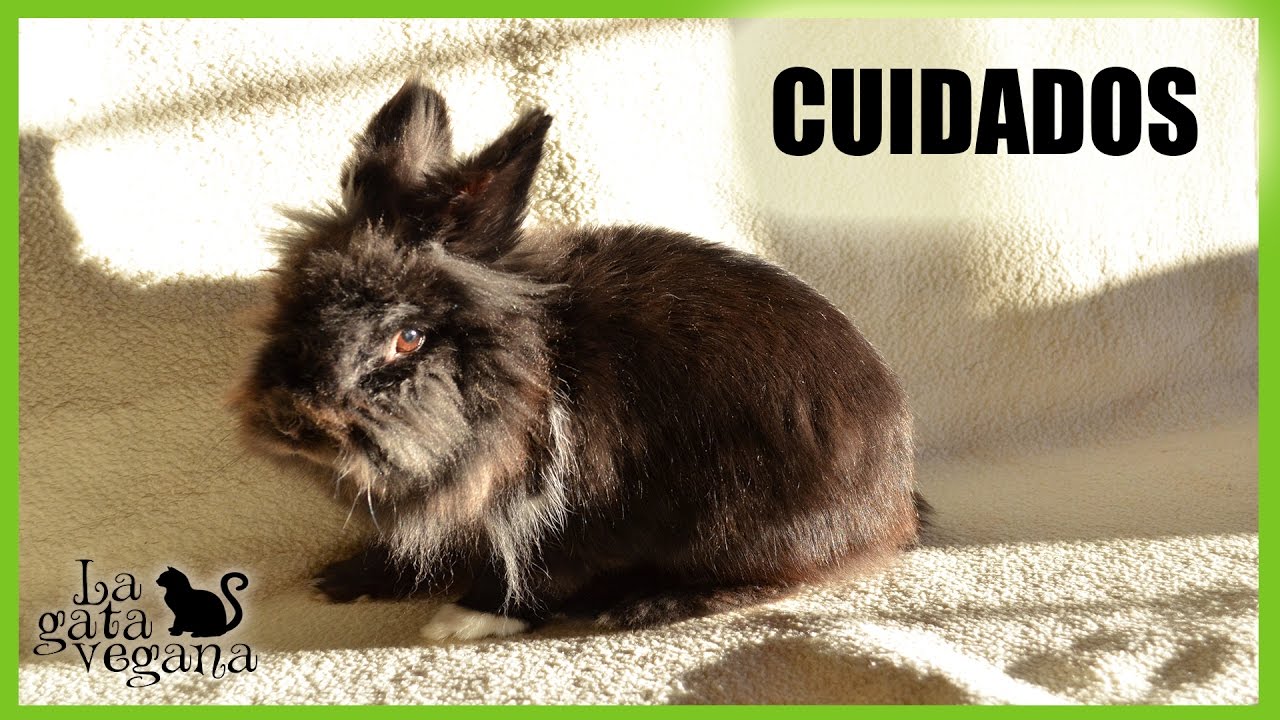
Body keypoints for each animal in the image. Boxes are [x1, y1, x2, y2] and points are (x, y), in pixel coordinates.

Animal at [232, 78, 927, 641]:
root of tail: (895, 496)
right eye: (295, 302)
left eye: (408, 337)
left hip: (750, 524)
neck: (523, 376)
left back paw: (641, 605)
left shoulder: (571, 505)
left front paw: (467, 618)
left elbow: (541, 568)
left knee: (780, 578)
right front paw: (347, 579)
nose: (293, 419)